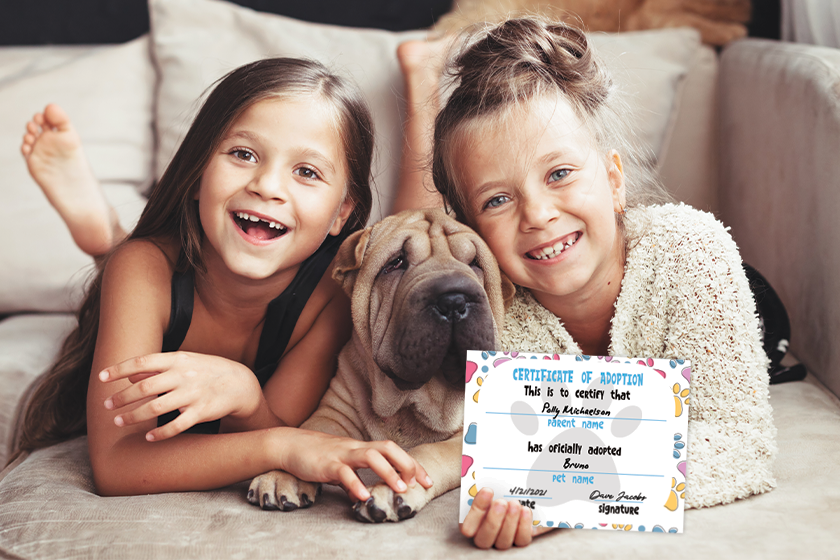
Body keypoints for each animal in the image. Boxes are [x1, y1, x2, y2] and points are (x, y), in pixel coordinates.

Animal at [248, 208, 512, 524]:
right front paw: (281, 473)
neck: (411, 400)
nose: (453, 300)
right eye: (395, 263)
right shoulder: (334, 413)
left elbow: (428, 453)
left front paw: (394, 488)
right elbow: (308, 434)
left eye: (475, 263)